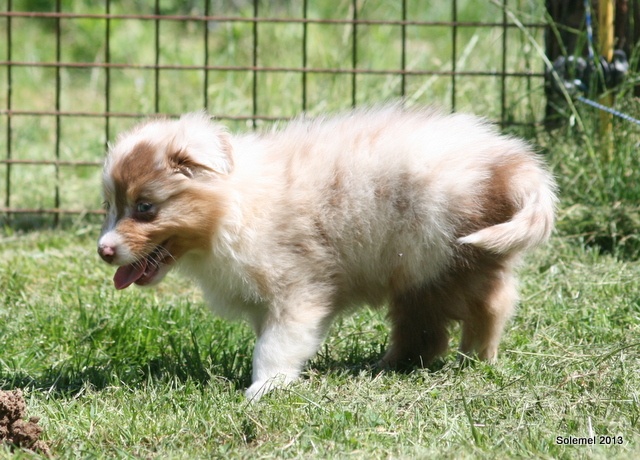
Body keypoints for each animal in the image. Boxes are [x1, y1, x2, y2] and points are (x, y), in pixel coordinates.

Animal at [98, 105, 556, 399]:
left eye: (145, 208)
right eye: (110, 206)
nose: (103, 250)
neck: (235, 205)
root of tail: (511, 163)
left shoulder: (297, 287)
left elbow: (275, 344)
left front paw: (264, 387)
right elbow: (270, 337)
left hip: (450, 254)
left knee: (489, 305)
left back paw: (476, 359)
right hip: (421, 271)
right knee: (425, 328)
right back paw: (389, 366)